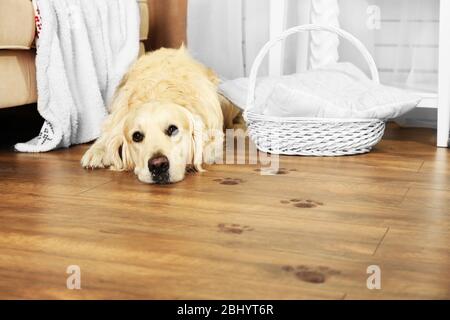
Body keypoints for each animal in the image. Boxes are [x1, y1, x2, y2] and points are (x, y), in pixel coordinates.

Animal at [81, 46, 243, 184]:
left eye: (173, 129)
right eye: (137, 136)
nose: (158, 165)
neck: (157, 93)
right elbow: (109, 134)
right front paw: (97, 151)